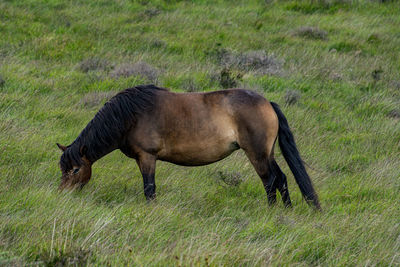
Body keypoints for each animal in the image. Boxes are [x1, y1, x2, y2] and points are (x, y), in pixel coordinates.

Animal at [56, 85, 320, 210]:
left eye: (76, 170)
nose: (62, 194)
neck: (130, 115)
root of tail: (267, 103)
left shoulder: (147, 157)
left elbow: (149, 189)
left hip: (257, 154)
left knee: (270, 180)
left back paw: (273, 211)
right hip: (267, 153)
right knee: (282, 178)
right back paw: (286, 210)